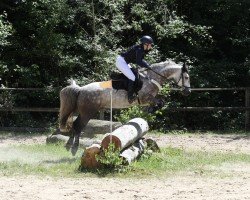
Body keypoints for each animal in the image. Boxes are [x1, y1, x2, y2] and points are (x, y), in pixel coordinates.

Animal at [59, 58, 191, 155]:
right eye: (186, 77)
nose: (187, 92)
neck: (152, 78)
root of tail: (81, 89)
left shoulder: (149, 98)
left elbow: (161, 101)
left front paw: (150, 110)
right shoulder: (145, 98)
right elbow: (160, 102)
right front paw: (151, 109)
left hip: (81, 110)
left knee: (74, 124)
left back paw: (68, 145)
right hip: (88, 112)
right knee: (78, 125)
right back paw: (73, 148)